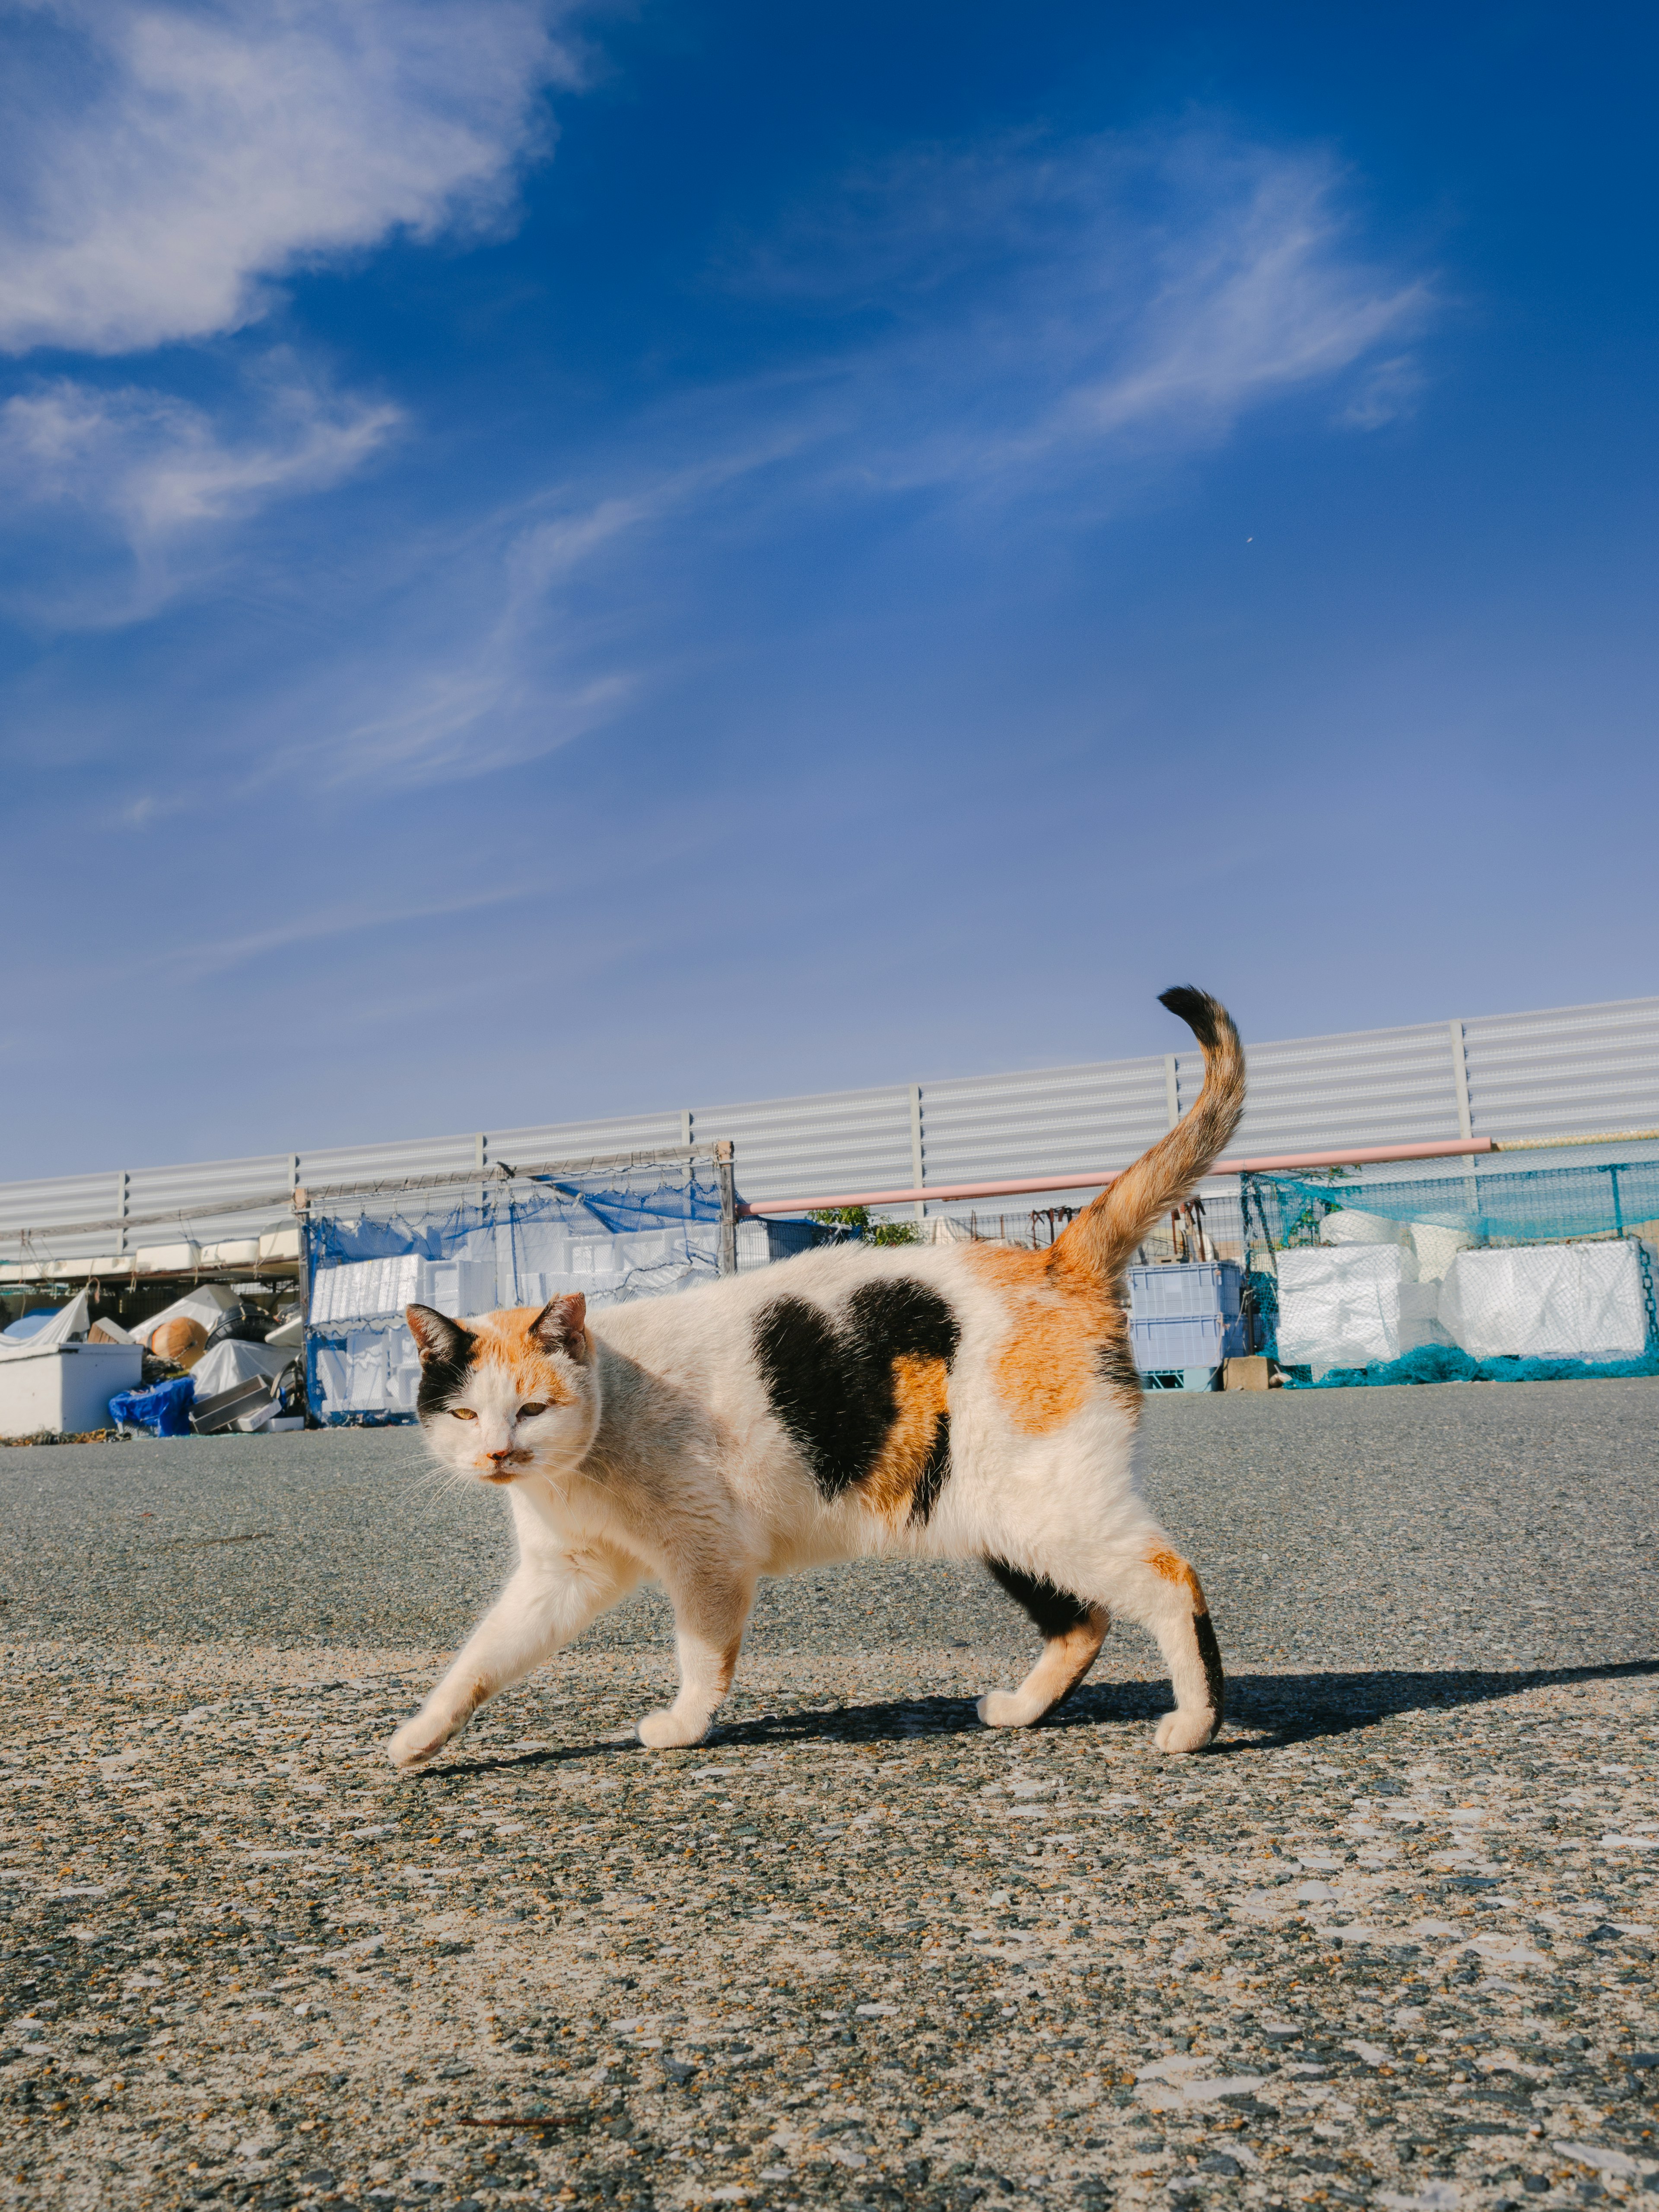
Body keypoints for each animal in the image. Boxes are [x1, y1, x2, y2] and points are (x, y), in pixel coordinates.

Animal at [389, 982, 1247, 1761]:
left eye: (533, 1408)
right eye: (466, 1414)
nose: (498, 1453)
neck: (588, 1455)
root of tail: (1053, 1260)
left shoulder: (708, 1557)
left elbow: (702, 1654)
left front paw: (684, 1727)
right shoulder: (562, 1574)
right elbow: (483, 1657)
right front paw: (419, 1738)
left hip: (1053, 1509)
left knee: (1171, 1581)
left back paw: (1195, 1725)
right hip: (1003, 1519)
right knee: (1084, 1621)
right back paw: (1023, 1710)